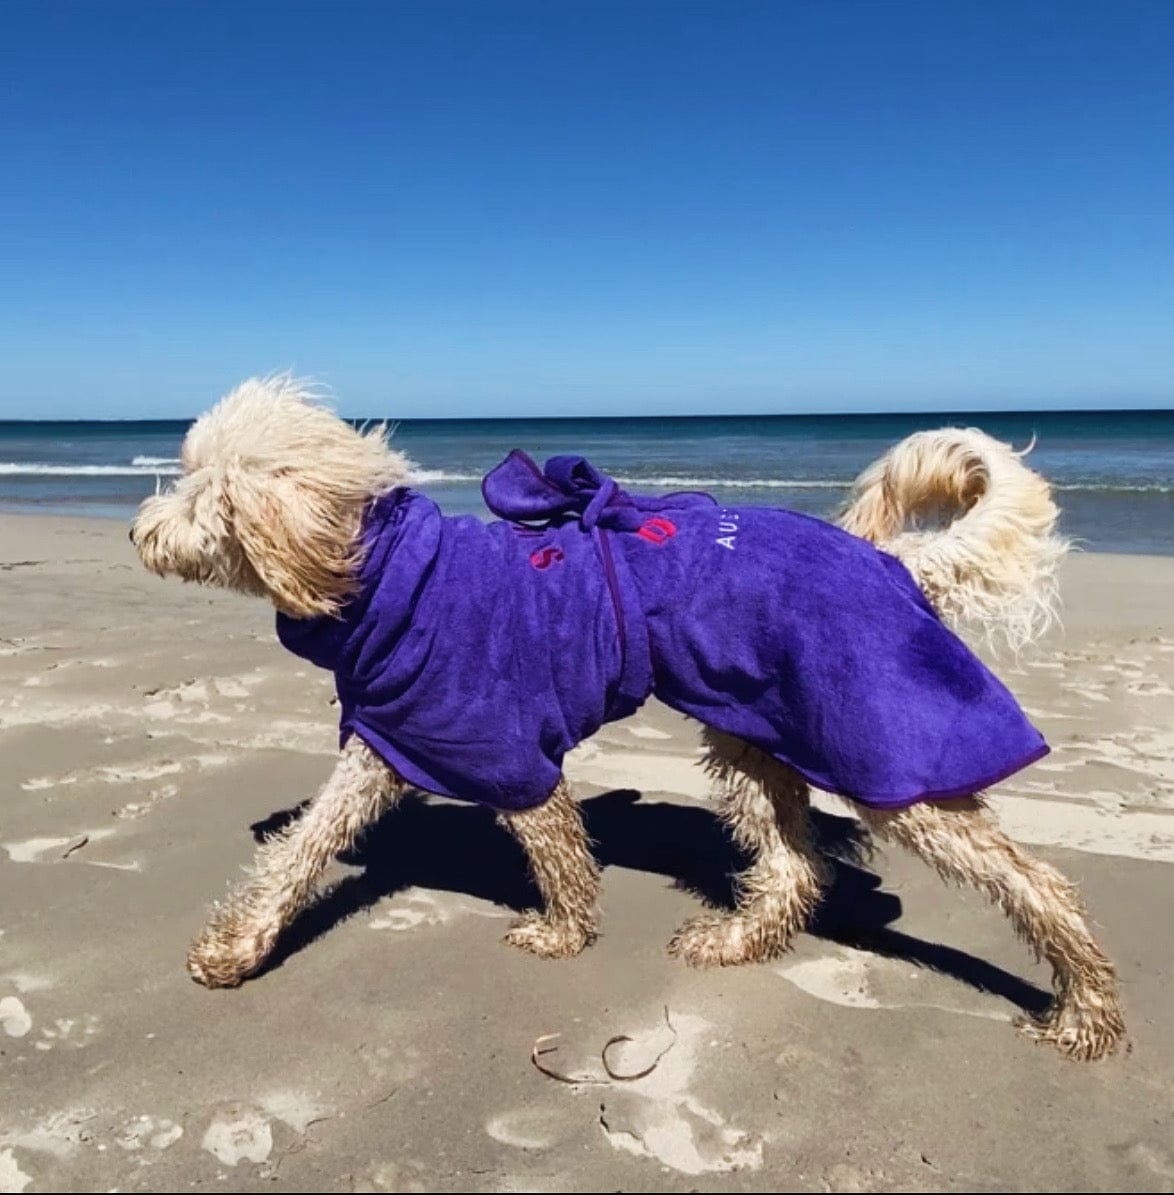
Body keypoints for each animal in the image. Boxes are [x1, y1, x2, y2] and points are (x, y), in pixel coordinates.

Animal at [133, 370, 1123, 1056]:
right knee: (796, 867)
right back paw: (738, 939)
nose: (139, 531)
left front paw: (563, 933)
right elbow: (301, 849)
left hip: (885, 751)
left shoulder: (498, 747)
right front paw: (240, 945)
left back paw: (1085, 1010)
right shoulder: (395, 736)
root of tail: (890, 562)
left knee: (1040, 882)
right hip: (751, 737)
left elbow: (558, 853)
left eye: (197, 491)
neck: (379, 574)